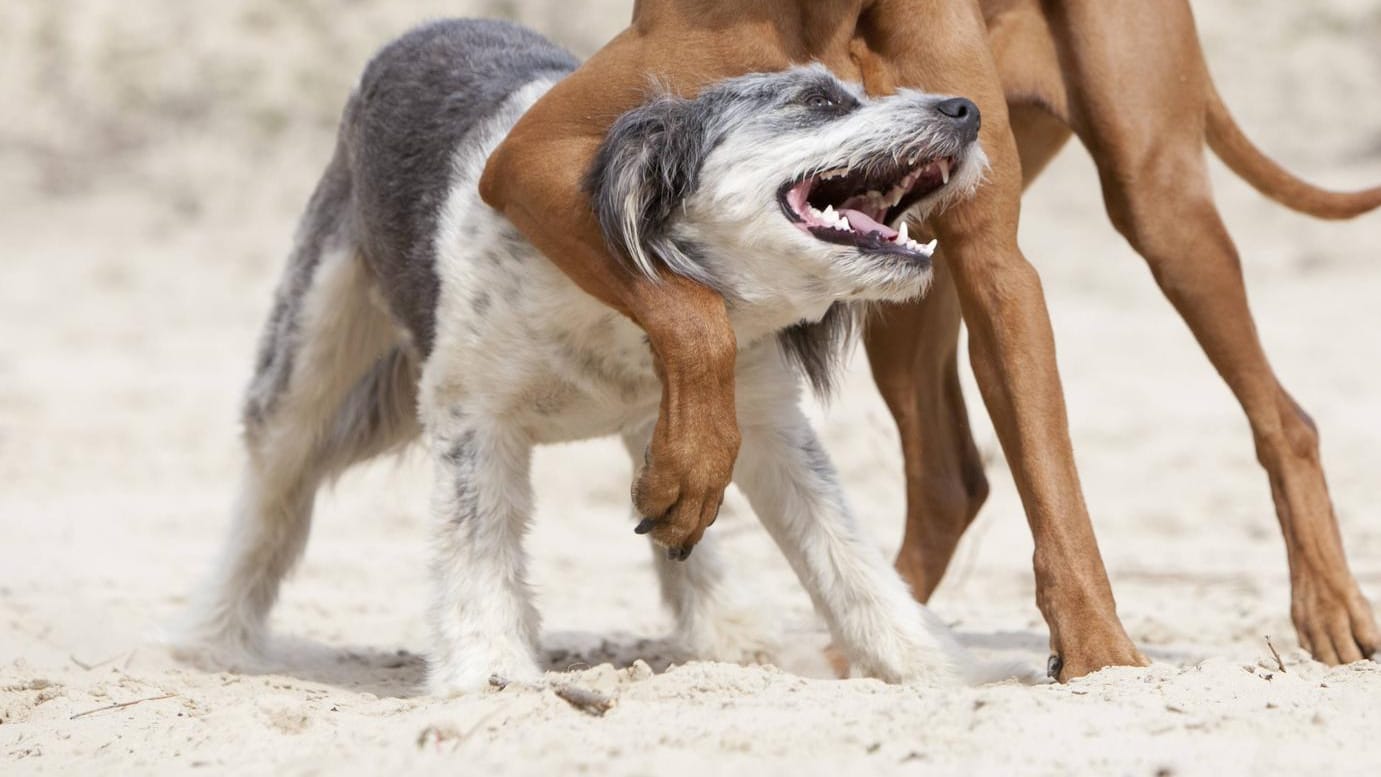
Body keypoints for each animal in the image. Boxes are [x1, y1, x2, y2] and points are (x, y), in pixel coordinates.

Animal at [175, 18, 994, 692]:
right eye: (819, 102)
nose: (965, 109)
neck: (626, 295)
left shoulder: (761, 419)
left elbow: (842, 551)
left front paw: (926, 664)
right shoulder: (471, 414)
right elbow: (477, 543)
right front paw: (489, 668)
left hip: (660, 427)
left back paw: (728, 633)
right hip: (311, 345)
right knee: (272, 492)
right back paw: (211, 640)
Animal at [477, 0, 1381, 681]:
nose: (953, 113)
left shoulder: (996, 266)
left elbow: (1054, 485)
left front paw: (1098, 654)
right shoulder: (531, 159)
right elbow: (688, 308)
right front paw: (689, 464)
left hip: (1155, 204)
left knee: (1281, 415)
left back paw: (1329, 603)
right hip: (904, 292)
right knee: (950, 479)